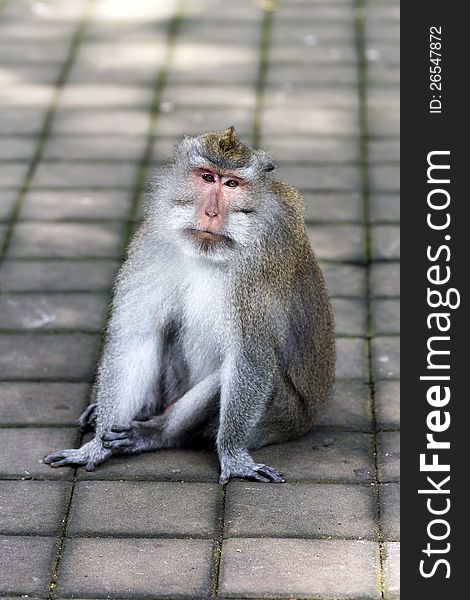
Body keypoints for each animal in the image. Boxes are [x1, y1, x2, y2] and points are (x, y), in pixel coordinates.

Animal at [43, 126, 334, 482]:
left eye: (232, 184)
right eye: (207, 177)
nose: (210, 213)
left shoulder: (267, 254)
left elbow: (250, 354)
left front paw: (233, 455)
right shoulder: (154, 239)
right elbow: (137, 337)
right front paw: (96, 446)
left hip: (281, 417)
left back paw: (156, 433)